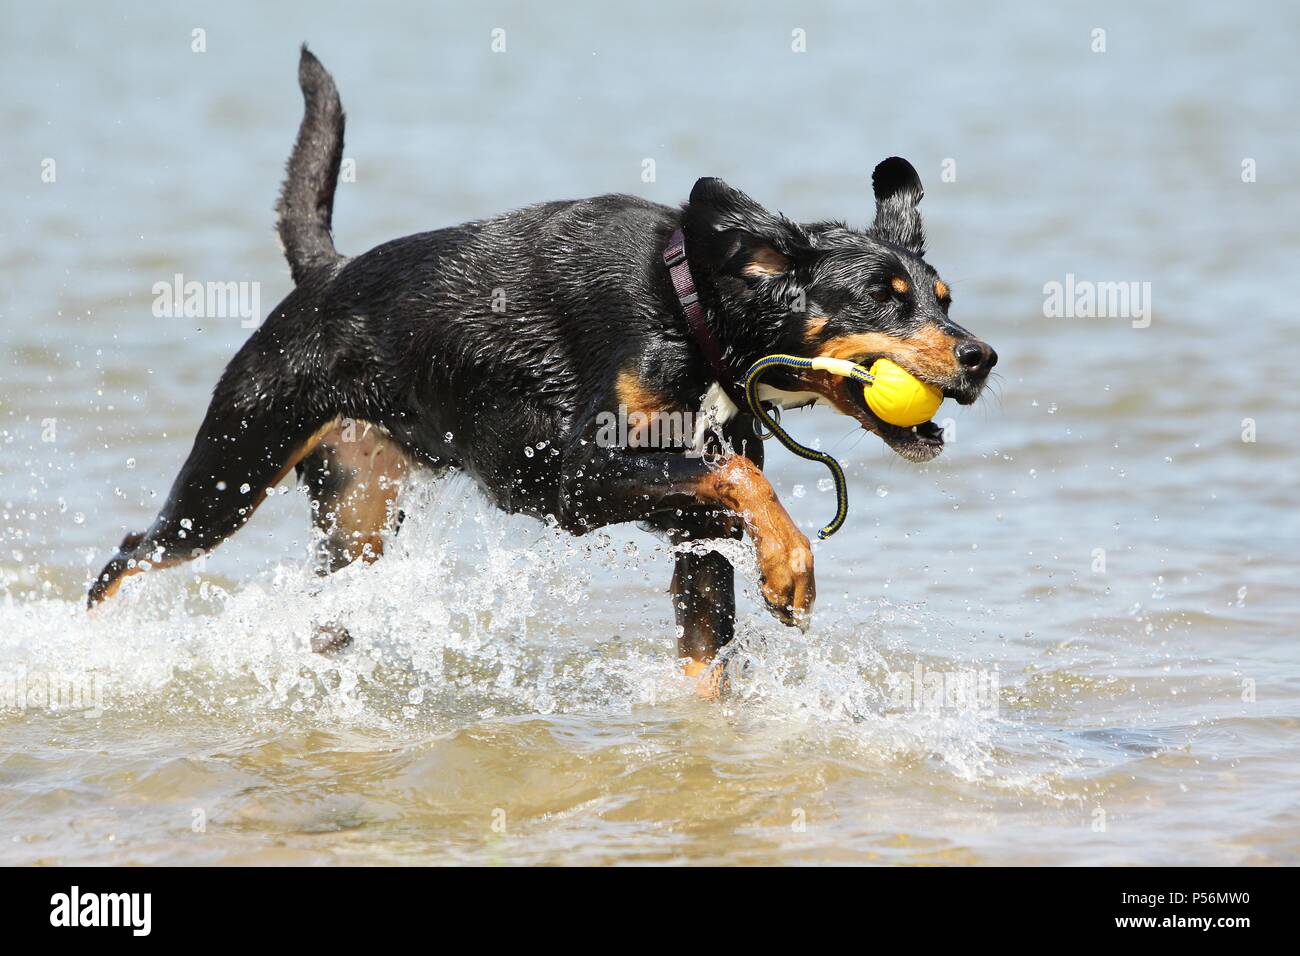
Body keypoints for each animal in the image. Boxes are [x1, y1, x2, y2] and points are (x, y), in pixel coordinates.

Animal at [89, 46, 993, 686]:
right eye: (883, 298)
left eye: (944, 298)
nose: (981, 356)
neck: (692, 307)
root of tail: (323, 273)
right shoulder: (577, 473)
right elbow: (742, 484)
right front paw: (792, 571)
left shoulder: (690, 528)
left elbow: (711, 624)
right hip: (231, 470)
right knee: (130, 552)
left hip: (356, 519)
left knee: (324, 607)